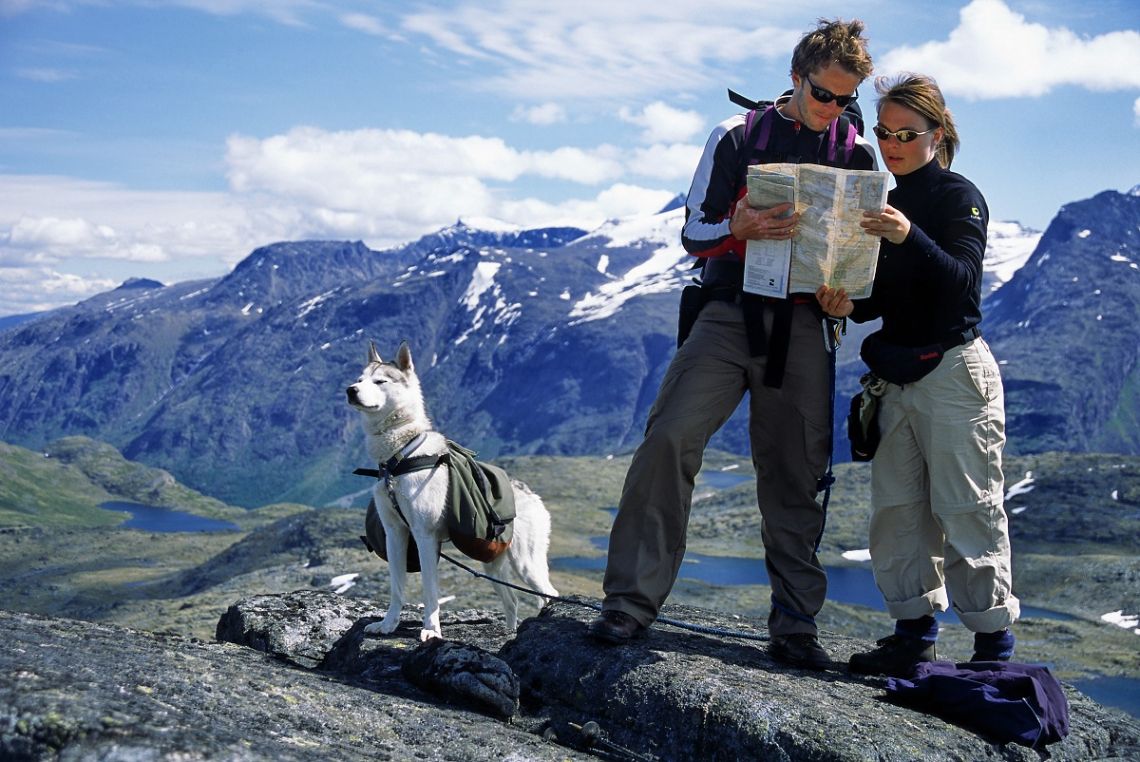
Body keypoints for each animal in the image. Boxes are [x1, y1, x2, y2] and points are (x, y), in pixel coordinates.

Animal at [346, 342, 560, 638]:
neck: (399, 456)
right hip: (492, 562)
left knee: (549, 595)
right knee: (513, 600)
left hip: (525, 563)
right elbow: (397, 589)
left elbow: (429, 591)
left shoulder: (424, 536)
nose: (350, 390)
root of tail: (529, 491)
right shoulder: (395, 534)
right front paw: (388, 624)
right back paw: (509, 634)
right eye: (359, 379)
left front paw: (431, 630)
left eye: (380, 381)